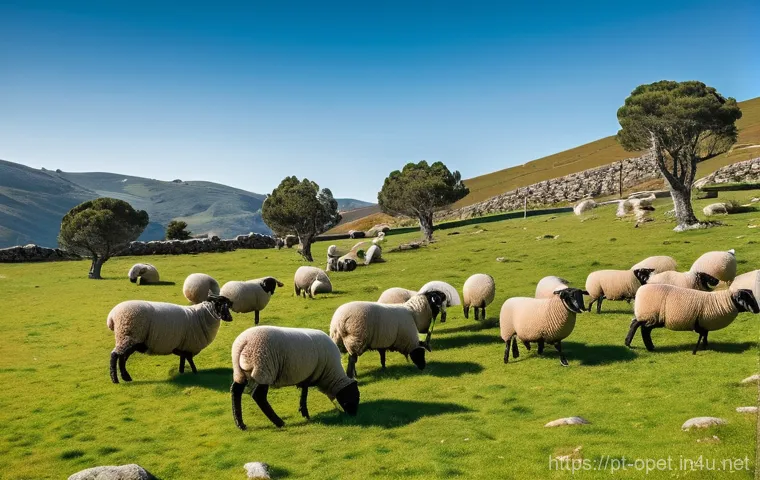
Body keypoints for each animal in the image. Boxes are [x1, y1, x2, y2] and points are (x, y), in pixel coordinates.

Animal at [230, 326, 360, 430]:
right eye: (353, 395)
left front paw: (303, 411)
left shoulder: (307, 375)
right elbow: (305, 393)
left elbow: (304, 392)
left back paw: (240, 424)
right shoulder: (311, 374)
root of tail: (243, 343)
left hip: (242, 372)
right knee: (258, 396)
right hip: (263, 368)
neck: (330, 373)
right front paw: (305, 413)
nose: (354, 415)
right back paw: (279, 422)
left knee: (236, 390)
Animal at [625, 284, 759, 354]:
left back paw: (645, 346)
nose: (758, 310)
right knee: (639, 327)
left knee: (640, 327)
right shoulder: (701, 323)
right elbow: (701, 335)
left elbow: (705, 335)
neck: (721, 302)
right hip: (649, 315)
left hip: (652, 318)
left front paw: (705, 347)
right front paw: (696, 350)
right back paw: (634, 344)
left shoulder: (704, 324)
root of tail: (640, 291)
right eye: (746, 298)